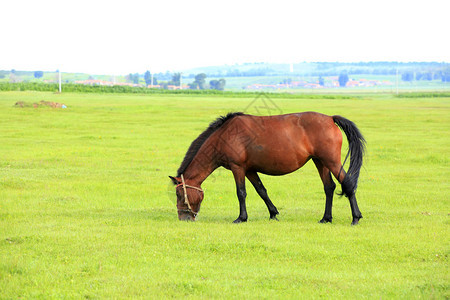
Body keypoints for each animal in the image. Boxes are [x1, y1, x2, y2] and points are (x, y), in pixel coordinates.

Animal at [169, 112, 366, 225]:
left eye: (179, 195)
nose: (183, 218)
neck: (224, 135)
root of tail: (330, 119)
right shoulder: (249, 170)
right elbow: (261, 190)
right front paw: (273, 213)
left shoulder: (237, 168)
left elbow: (241, 193)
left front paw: (241, 218)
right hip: (320, 162)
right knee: (329, 187)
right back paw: (326, 218)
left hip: (331, 161)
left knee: (347, 183)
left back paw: (355, 217)